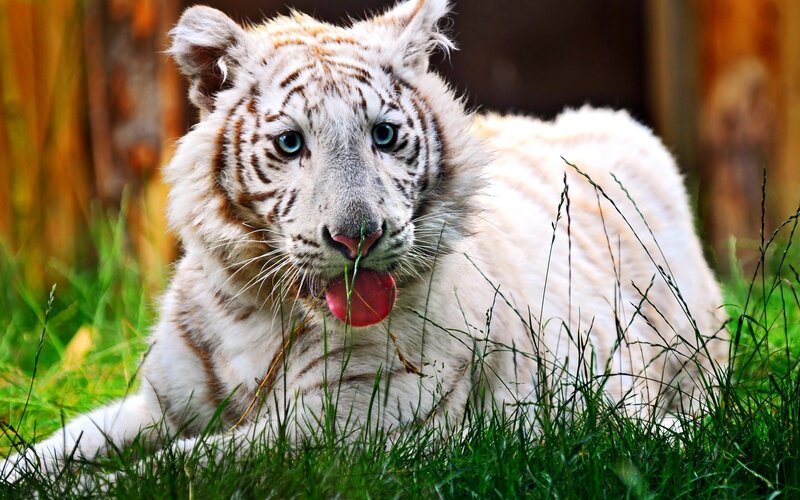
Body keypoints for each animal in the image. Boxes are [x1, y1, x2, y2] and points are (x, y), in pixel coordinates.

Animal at [3, 0, 728, 483]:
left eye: (383, 135)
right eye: (290, 143)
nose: (359, 237)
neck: (256, 311)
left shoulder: (338, 426)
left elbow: (165, 471)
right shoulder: (161, 404)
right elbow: (63, 443)